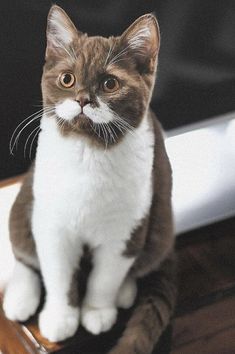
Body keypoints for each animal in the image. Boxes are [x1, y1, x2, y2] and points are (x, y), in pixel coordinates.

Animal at [3, 5, 176, 354]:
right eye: (67, 79)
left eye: (110, 83)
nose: (83, 99)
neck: (89, 150)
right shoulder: (52, 224)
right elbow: (56, 272)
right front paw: (60, 318)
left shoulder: (125, 228)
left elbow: (106, 276)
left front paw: (97, 312)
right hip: (26, 197)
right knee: (24, 251)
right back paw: (20, 297)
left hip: (161, 222)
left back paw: (125, 291)